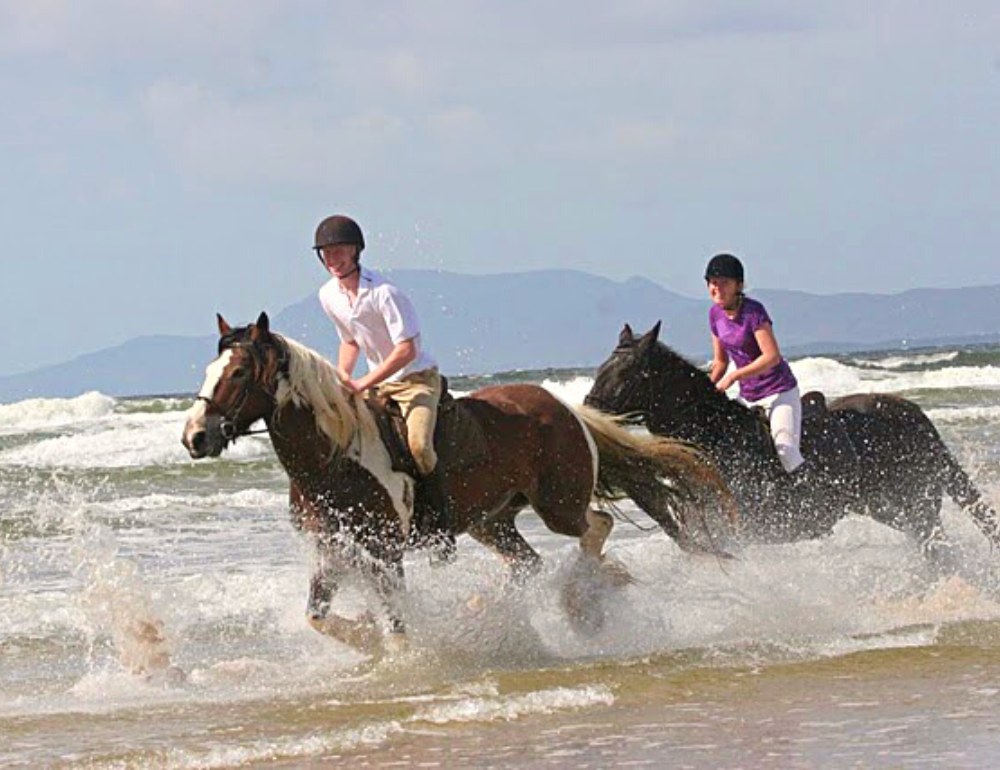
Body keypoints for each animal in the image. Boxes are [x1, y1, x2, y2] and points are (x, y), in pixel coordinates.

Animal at [182, 312, 736, 656]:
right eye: (210, 369)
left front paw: (402, 657)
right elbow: (317, 618)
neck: (333, 461)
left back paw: (577, 601)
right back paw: (488, 606)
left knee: (594, 527)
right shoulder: (333, 550)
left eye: (237, 373)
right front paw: (367, 637)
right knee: (529, 563)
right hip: (491, 521)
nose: (194, 436)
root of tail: (566, 408)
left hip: (557, 504)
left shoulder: (385, 552)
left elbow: (398, 624)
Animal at [584, 320, 1000, 564]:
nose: (586, 412)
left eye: (626, 372)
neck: (716, 438)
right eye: (601, 367)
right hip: (896, 510)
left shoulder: (739, 533)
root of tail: (912, 412)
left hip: (913, 505)